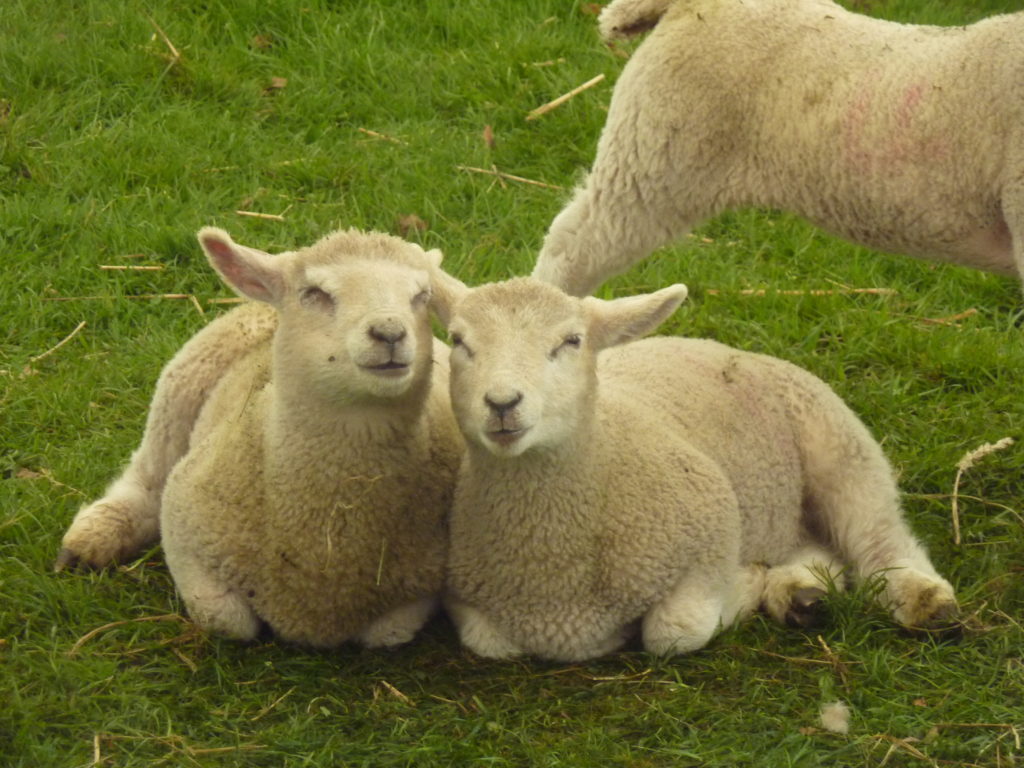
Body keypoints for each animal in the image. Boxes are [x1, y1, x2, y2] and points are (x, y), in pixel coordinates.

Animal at [59, 228, 464, 651]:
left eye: (422, 296)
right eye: (314, 293)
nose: (390, 333)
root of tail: (265, 300)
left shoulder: (418, 588)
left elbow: (386, 632)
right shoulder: (184, 530)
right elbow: (228, 620)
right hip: (183, 379)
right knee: (149, 474)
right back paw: (96, 534)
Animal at [434, 276, 958, 663]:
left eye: (571, 341)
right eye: (459, 341)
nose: (502, 403)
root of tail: (722, 345)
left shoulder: (714, 530)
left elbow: (674, 631)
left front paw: (744, 587)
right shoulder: (470, 602)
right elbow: (488, 641)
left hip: (839, 446)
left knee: (878, 533)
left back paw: (923, 599)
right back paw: (801, 591)